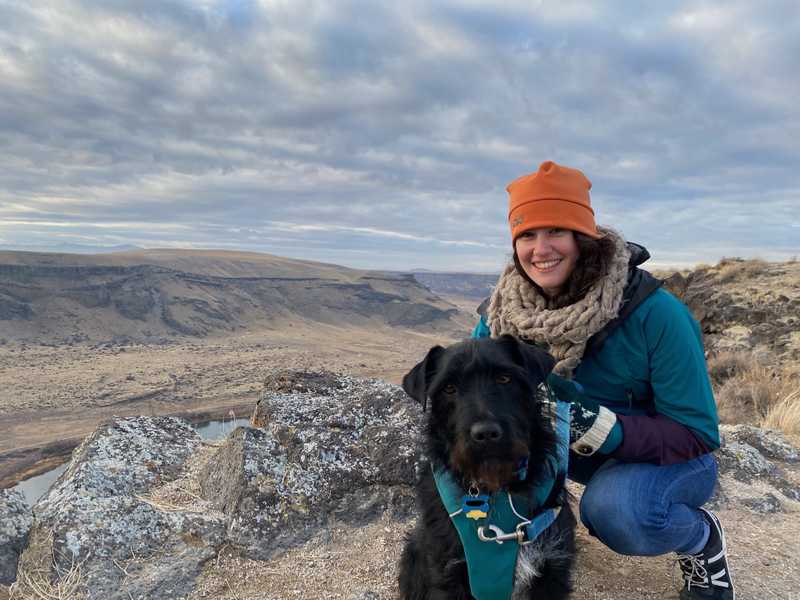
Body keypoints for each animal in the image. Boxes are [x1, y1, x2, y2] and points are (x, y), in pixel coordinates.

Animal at [398, 336, 576, 596]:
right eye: (448, 388)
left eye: (505, 378)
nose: (485, 434)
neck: (496, 489)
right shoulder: (446, 575)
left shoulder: (552, 571)